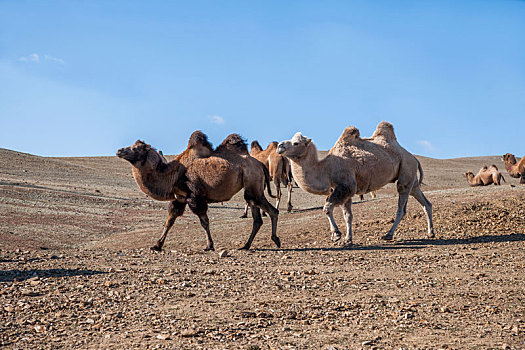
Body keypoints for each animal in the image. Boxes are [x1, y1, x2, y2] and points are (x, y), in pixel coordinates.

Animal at [116, 131, 280, 252]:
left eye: (136, 148)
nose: (119, 150)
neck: (172, 175)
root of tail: (260, 164)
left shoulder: (195, 197)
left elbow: (204, 222)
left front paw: (209, 245)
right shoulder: (179, 198)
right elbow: (169, 221)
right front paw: (157, 245)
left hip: (252, 182)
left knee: (271, 210)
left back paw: (275, 240)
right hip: (252, 186)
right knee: (256, 217)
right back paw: (246, 245)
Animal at [276, 121, 432, 245]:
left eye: (296, 143)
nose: (279, 146)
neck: (327, 167)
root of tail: (413, 157)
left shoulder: (346, 186)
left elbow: (327, 208)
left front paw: (337, 235)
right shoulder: (344, 190)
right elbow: (348, 216)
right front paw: (347, 239)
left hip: (406, 171)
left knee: (402, 206)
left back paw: (388, 234)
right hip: (411, 178)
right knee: (425, 201)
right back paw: (431, 232)